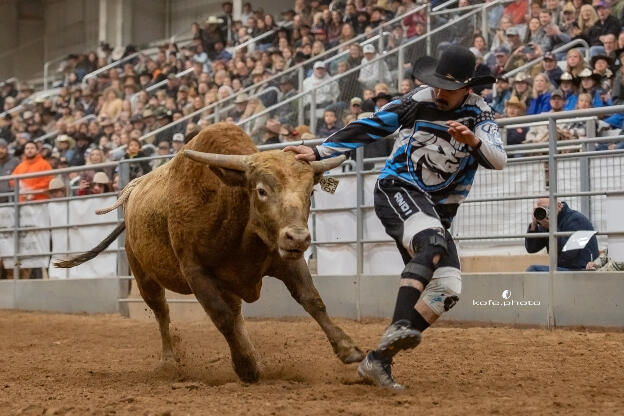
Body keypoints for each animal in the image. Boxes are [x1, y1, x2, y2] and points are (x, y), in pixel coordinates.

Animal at [56, 123, 364, 382]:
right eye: (261, 190)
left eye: (310, 192)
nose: (298, 237)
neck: (229, 204)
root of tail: (130, 196)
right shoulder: (196, 272)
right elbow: (221, 317)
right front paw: (246, 368)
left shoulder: (284, 258)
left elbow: (311, 299)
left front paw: (348, 348)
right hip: (143, 275)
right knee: (162, 313)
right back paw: (170, 361)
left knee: (236, 313)